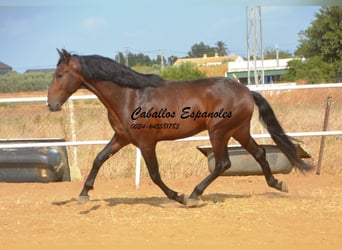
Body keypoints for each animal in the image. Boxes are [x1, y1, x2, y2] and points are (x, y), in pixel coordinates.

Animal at [48, 49, 312, 207]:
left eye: (59, 74)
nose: (51, 104)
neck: (129, 96)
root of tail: (246, 90)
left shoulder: (146, 143)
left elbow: (155, 174)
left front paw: (178, 196)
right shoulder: (121, 138)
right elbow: (98, 159)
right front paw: (84, 194)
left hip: (219, 132)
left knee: (223, 163)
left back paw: (194, 195)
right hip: (239, 131)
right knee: (259, 153)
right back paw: (277, 184)